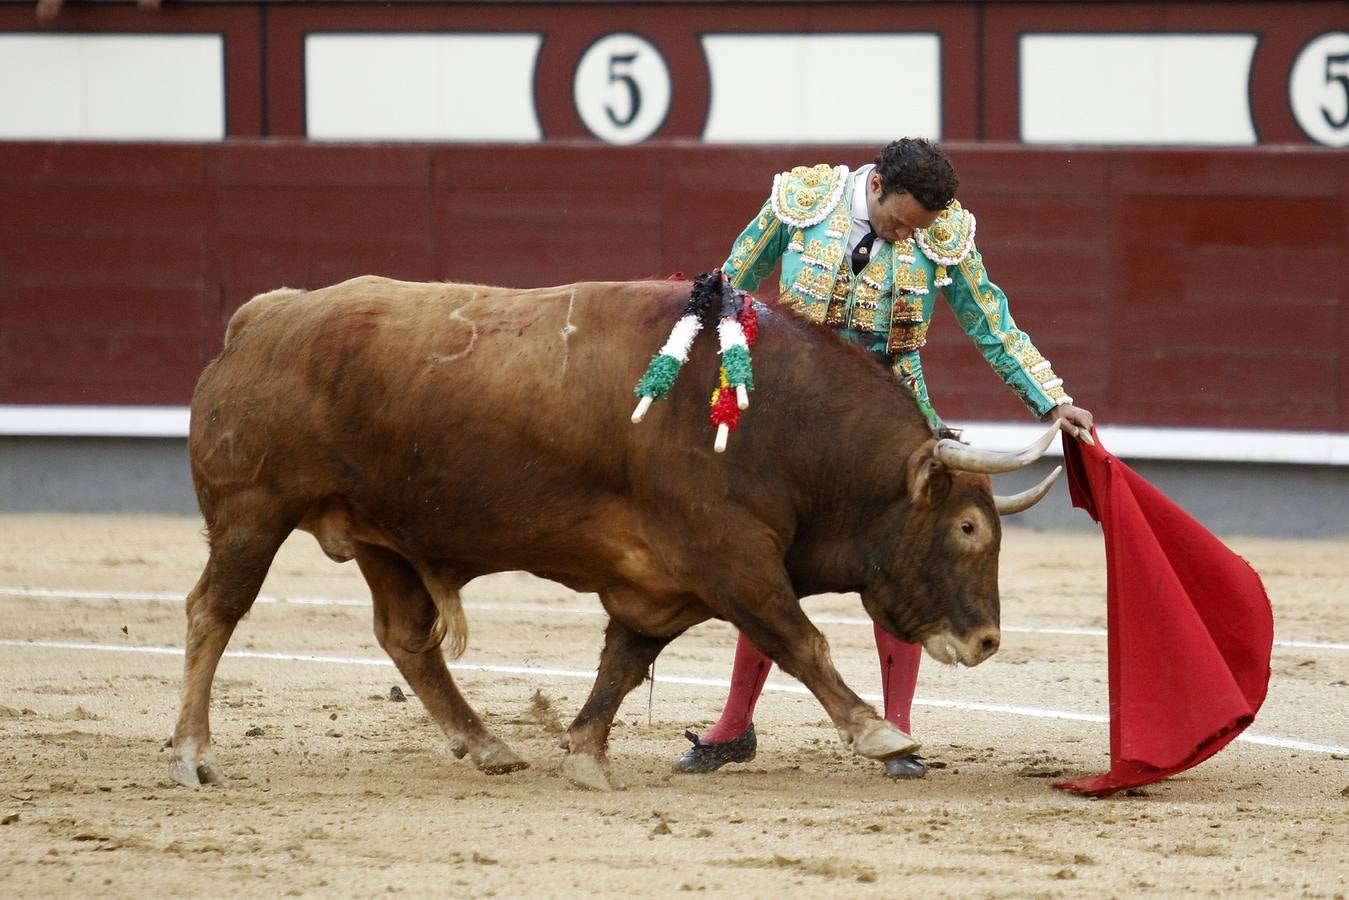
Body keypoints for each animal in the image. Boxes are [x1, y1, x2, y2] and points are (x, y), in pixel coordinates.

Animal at [163, 275, 1057, 788]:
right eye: (968, 526)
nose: (986, 641)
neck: (779, 424)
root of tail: (265, 318)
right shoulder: (731, 560)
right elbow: (799, 641)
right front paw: (877, 733)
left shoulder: (661, 582)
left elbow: (623, 663)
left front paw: (584, 755)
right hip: (253, 513)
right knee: (215, 612)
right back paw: (192, 755)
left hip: (383, 536)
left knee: (404, 637)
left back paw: (485, 745)